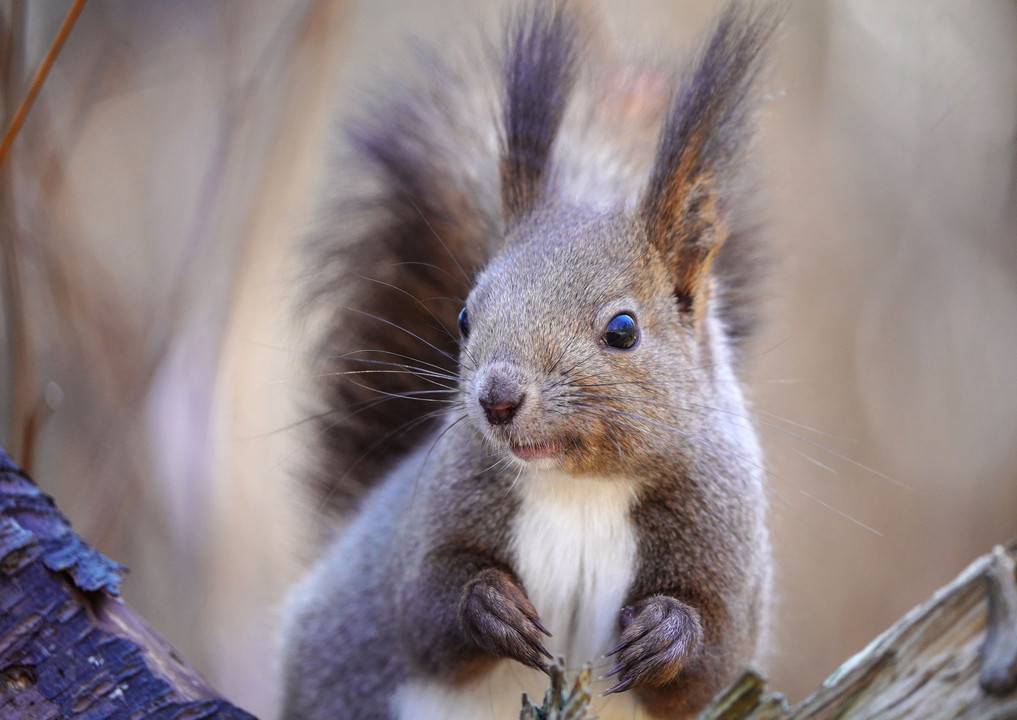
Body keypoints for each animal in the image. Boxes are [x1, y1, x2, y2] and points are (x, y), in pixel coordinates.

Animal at [282, 2, 772, 715]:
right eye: (465, 316)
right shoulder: (429, 521)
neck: (580, 487)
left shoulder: (725, 538)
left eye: (623, 329)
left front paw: (666, 632)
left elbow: (715, 657)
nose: (497, 398)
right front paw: (491, 607)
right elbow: (422, 603)